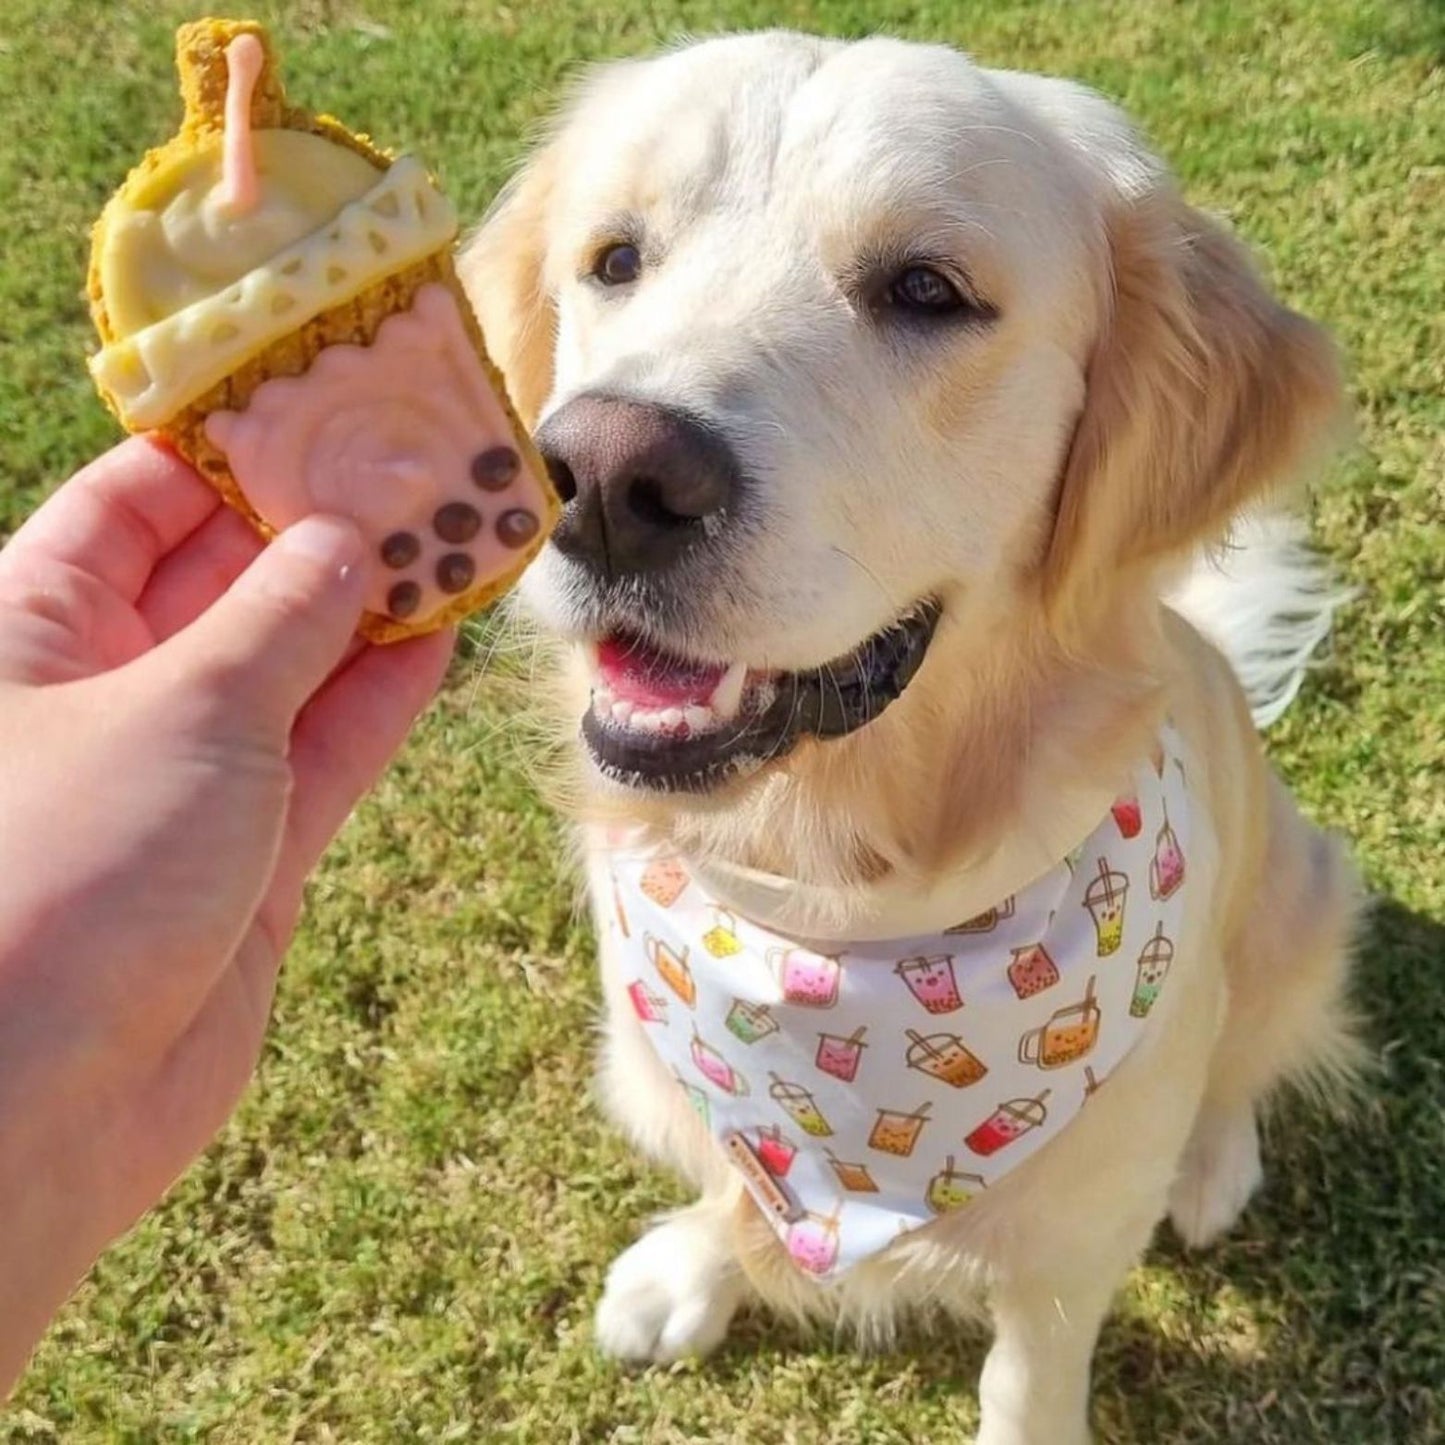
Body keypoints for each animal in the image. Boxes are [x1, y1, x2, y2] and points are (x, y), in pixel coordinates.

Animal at [459, 33, 1352, 1445]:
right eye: (614, 259)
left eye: (925, 289)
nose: (600, 479)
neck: (830, 908)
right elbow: (729, 1177)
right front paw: (692, 1265)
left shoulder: (1066, 1251)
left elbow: (1025, 1379)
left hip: (1300, 895)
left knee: (1245, 1051)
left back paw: (1214, 1161)